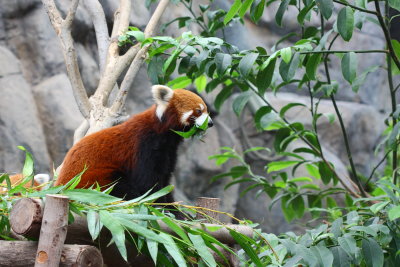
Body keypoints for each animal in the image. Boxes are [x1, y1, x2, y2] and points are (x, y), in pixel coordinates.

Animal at [54, 86, 214, 205]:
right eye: (198, 111)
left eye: (206, 110)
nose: (211, 123)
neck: (163, 133)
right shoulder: (144, 146)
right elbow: (147, 183)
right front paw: (166, 209)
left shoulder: (169, 151)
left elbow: (164, 180)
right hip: (92, 180)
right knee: (118, 185)